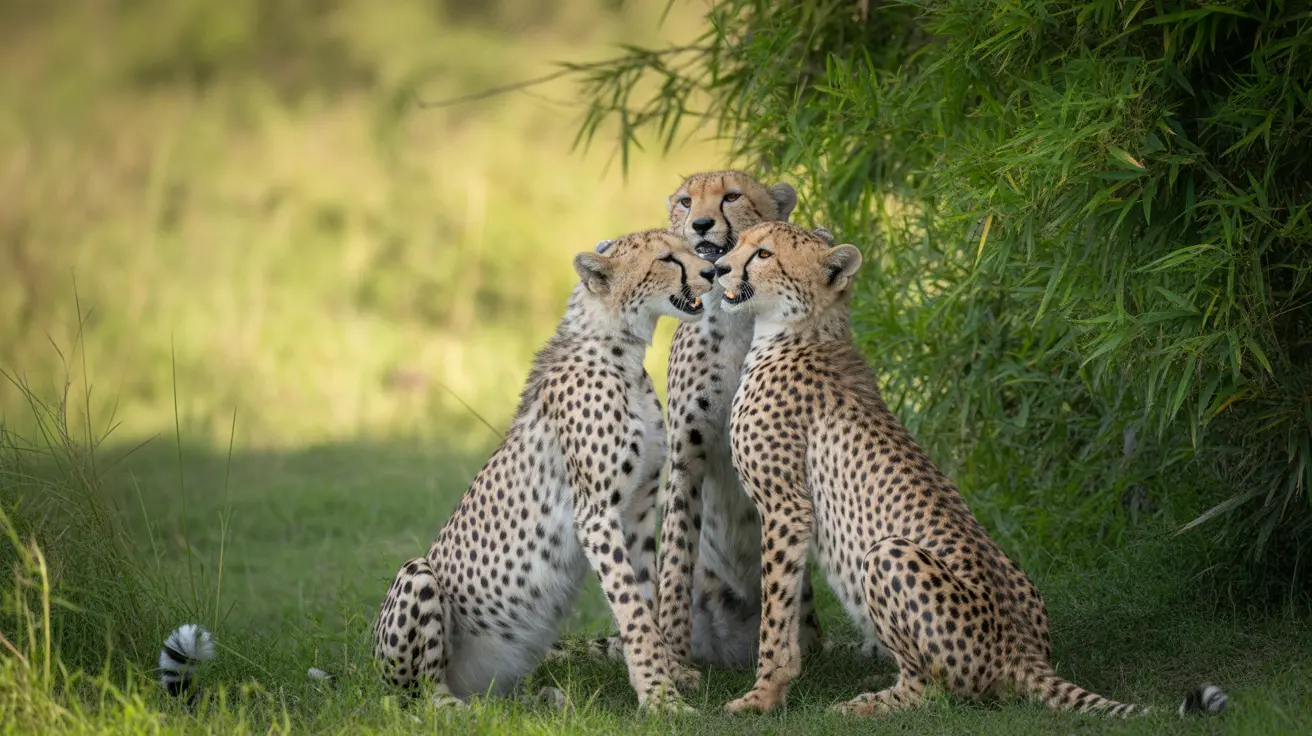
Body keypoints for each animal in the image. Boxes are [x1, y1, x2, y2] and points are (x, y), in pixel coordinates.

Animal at [372, 228, 712, 713]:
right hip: (416, 577)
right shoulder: (596, 513)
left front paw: (671, 676)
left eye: (690, 246)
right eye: (667, 258)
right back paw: (463, 710)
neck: (621, 353)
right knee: (421, 697)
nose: (712, 270)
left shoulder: (641, 509)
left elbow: (646, 599)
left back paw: (542, 698)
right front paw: (659, 697)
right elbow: (632, 608)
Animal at [710, 220, 1229, 719]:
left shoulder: (785, 508)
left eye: (763, 253)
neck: (802, 329)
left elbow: (775, 611)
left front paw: (762, 696)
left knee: (934, 690)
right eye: (740, 241)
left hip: (887, 554)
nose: (718, 268)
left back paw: (873, 703)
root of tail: (1022, 650)